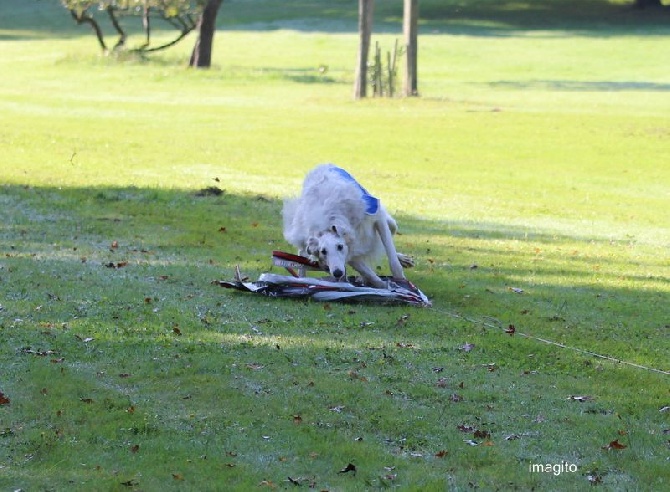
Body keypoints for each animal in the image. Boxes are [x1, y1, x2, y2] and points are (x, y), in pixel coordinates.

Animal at [282, 164, 412, 288]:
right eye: (323, 252)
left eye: (340, 246)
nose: (337, 273)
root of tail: (322, 165)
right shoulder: (351, 251)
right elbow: (368, 273)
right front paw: (384, 286)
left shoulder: (376, 219)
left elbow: (392, 259)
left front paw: (401, 281)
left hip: (384, 218)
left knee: (390, 233)